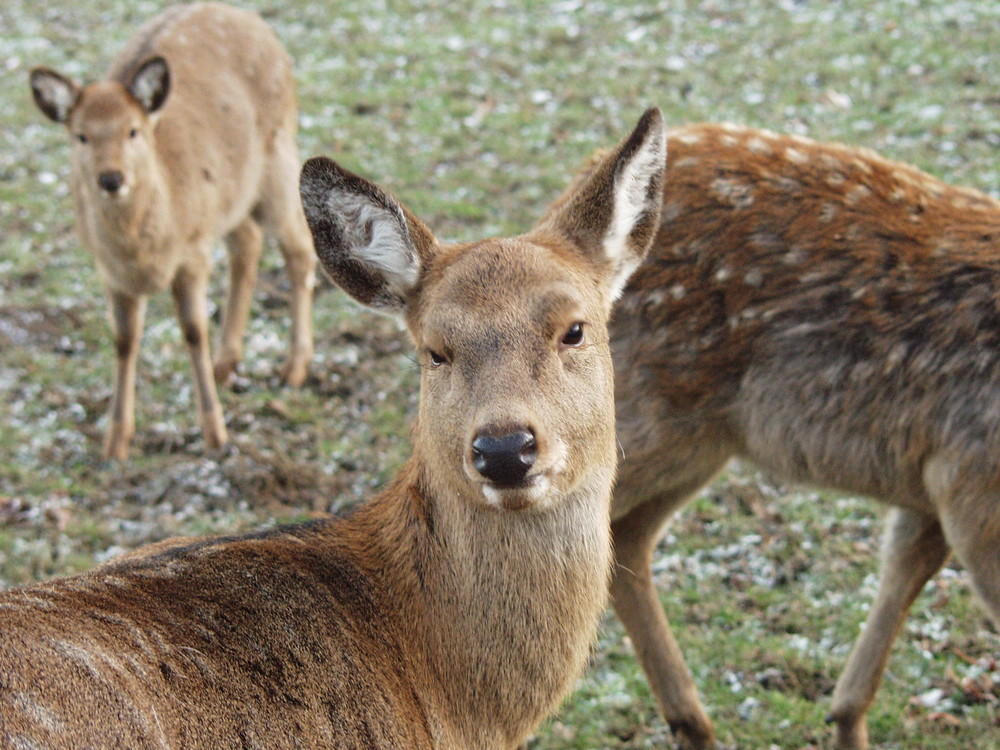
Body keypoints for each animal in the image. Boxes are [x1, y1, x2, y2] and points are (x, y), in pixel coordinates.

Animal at [28, 1, 316, 464]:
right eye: (81, 136)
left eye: (133, 130)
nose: (111, 179)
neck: (144, 253)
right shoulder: (109, 271)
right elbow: (124, 339)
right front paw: (115, 442)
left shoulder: (193, 250)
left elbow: (193, 330)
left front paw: (216, 434)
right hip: (232, 196)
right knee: (248, 243)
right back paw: (226, 362)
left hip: (278, 155)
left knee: (298, 250)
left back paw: (293, 368)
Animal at [584, 120, 1000, 748]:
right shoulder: (972, 483)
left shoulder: (936, 483)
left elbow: (904, 567)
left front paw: (845, 721)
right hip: (654, 421)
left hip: (698, 440)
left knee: (623, 538)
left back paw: (694, 723)